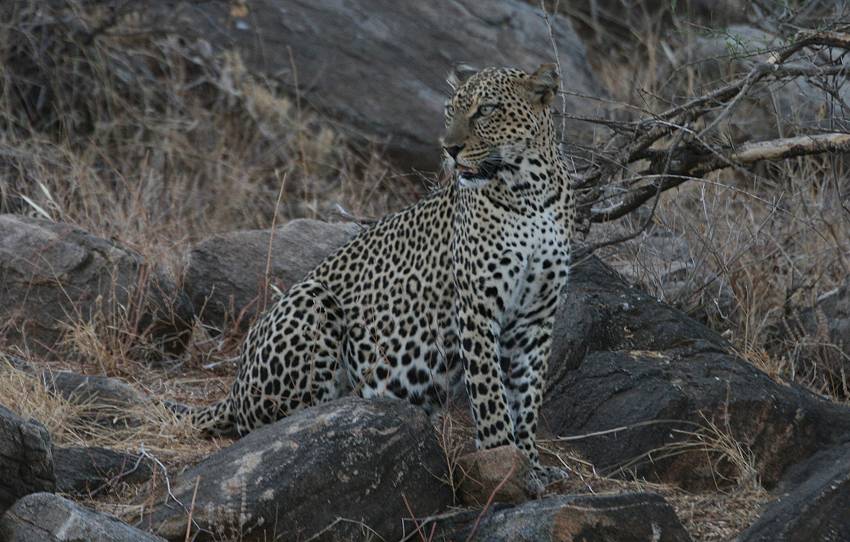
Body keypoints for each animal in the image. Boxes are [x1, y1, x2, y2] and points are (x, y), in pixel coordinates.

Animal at [176, 62, 580, 484]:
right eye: (450, 111)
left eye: (486, 110)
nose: (449, 149)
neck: (529, 193)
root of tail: (234, 387)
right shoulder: (476, 308)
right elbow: (491, 395)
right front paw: (502, 458)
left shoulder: (536, 318)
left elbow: (526, 398)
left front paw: (531, 464)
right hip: (312, 300)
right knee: (274, 424)